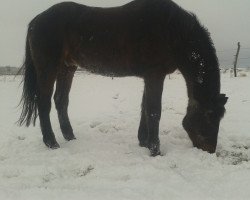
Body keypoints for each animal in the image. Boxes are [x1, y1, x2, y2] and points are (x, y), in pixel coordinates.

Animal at [18, 0, 228, 156]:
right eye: (209, 116)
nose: (210, 150)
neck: (172, 31)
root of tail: (35, 21)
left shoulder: (150, 77)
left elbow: (144, 108)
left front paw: (143, 141)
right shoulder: (155, 75)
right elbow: (154, 111)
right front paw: (155, 150)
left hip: (67, 68)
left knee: (61, 101)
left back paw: (70, 136)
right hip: (48, 68)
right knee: (44, 103)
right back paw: (51, 142)